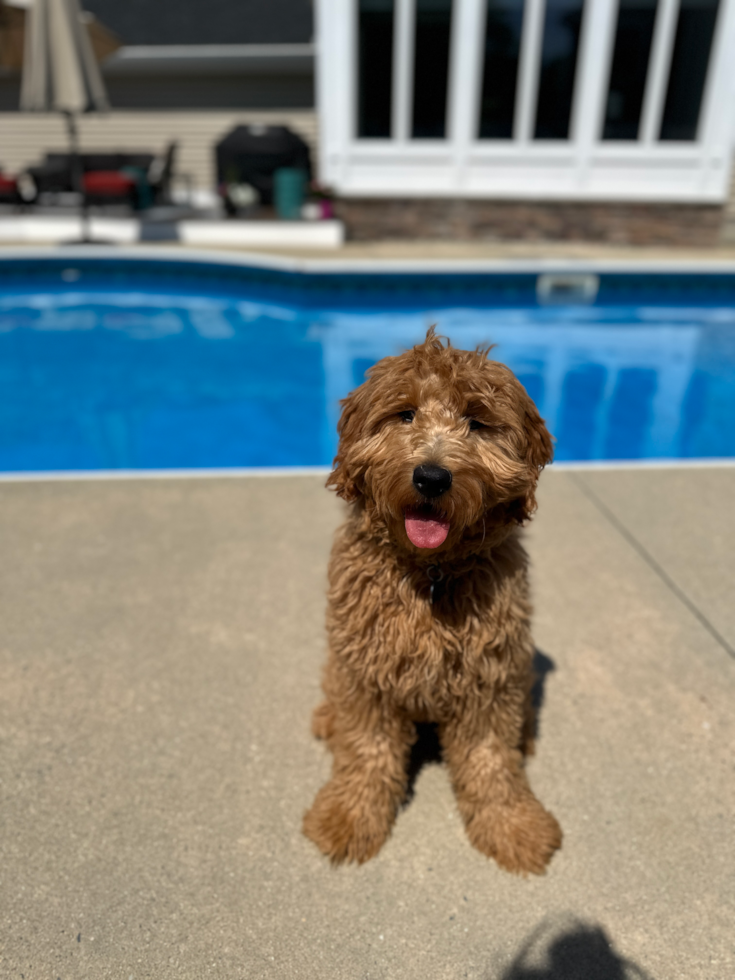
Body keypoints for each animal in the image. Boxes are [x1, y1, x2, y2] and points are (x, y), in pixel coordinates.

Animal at [302, 328, 560, 872]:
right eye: (405, 414)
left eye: (477, 422)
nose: (432, 477)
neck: (432, 571)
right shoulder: (366, 676)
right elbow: (367, 750)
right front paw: (349, 818)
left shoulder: (490, 677)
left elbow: (490, 759)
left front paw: (513, 826)